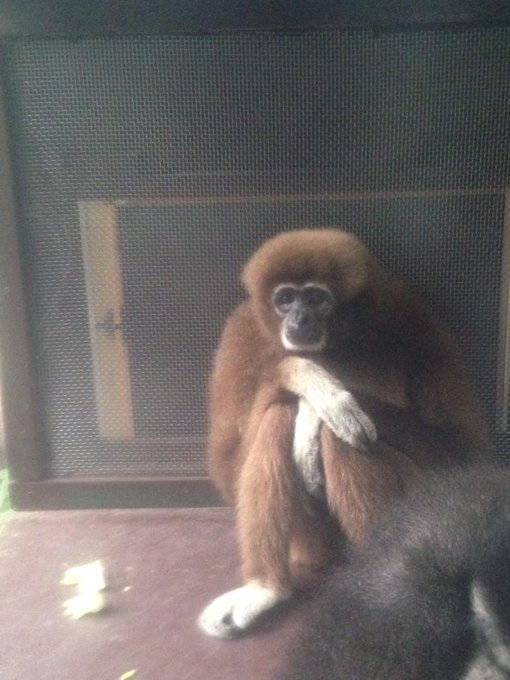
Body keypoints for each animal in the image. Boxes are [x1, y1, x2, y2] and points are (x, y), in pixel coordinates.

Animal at [198, 229, 489, 639]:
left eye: (316, 299)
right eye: (285, 299)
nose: (300, 318)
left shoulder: (415, 322)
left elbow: (459, 446)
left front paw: (319, 409)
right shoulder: (240, 333)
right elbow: (227, 463)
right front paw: (307, 378)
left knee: (344, 437)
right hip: (308, 542)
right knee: (278, 414)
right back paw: (266, 589)